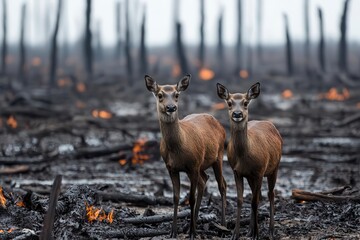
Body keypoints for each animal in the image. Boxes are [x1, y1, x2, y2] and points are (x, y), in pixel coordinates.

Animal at [145, 74, 226, 239]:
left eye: (177, 94)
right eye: (160, 95)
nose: (171, 107)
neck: (178, 148)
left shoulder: (193, 165)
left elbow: (191, 198)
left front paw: (192, 233)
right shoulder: (171, 168)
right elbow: (176, 197)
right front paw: (173, 231)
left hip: (218, 155)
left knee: (222, 185)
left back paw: (222, 225)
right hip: (201, 164)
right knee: (204, 180)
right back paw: (192, 224)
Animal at [215, 82, 282, 240]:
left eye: (245, 103)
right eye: (229, 103)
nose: (237, 114)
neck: (244, 156)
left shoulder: (259, 171)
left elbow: (254, 201)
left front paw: (257, 234)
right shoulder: (237, 172)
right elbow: (240, 200)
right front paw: (236, 234)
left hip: (274, 166)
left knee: (270, 194)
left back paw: (270, 231)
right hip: (252, 176)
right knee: (256, 196)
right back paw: (251, 229)